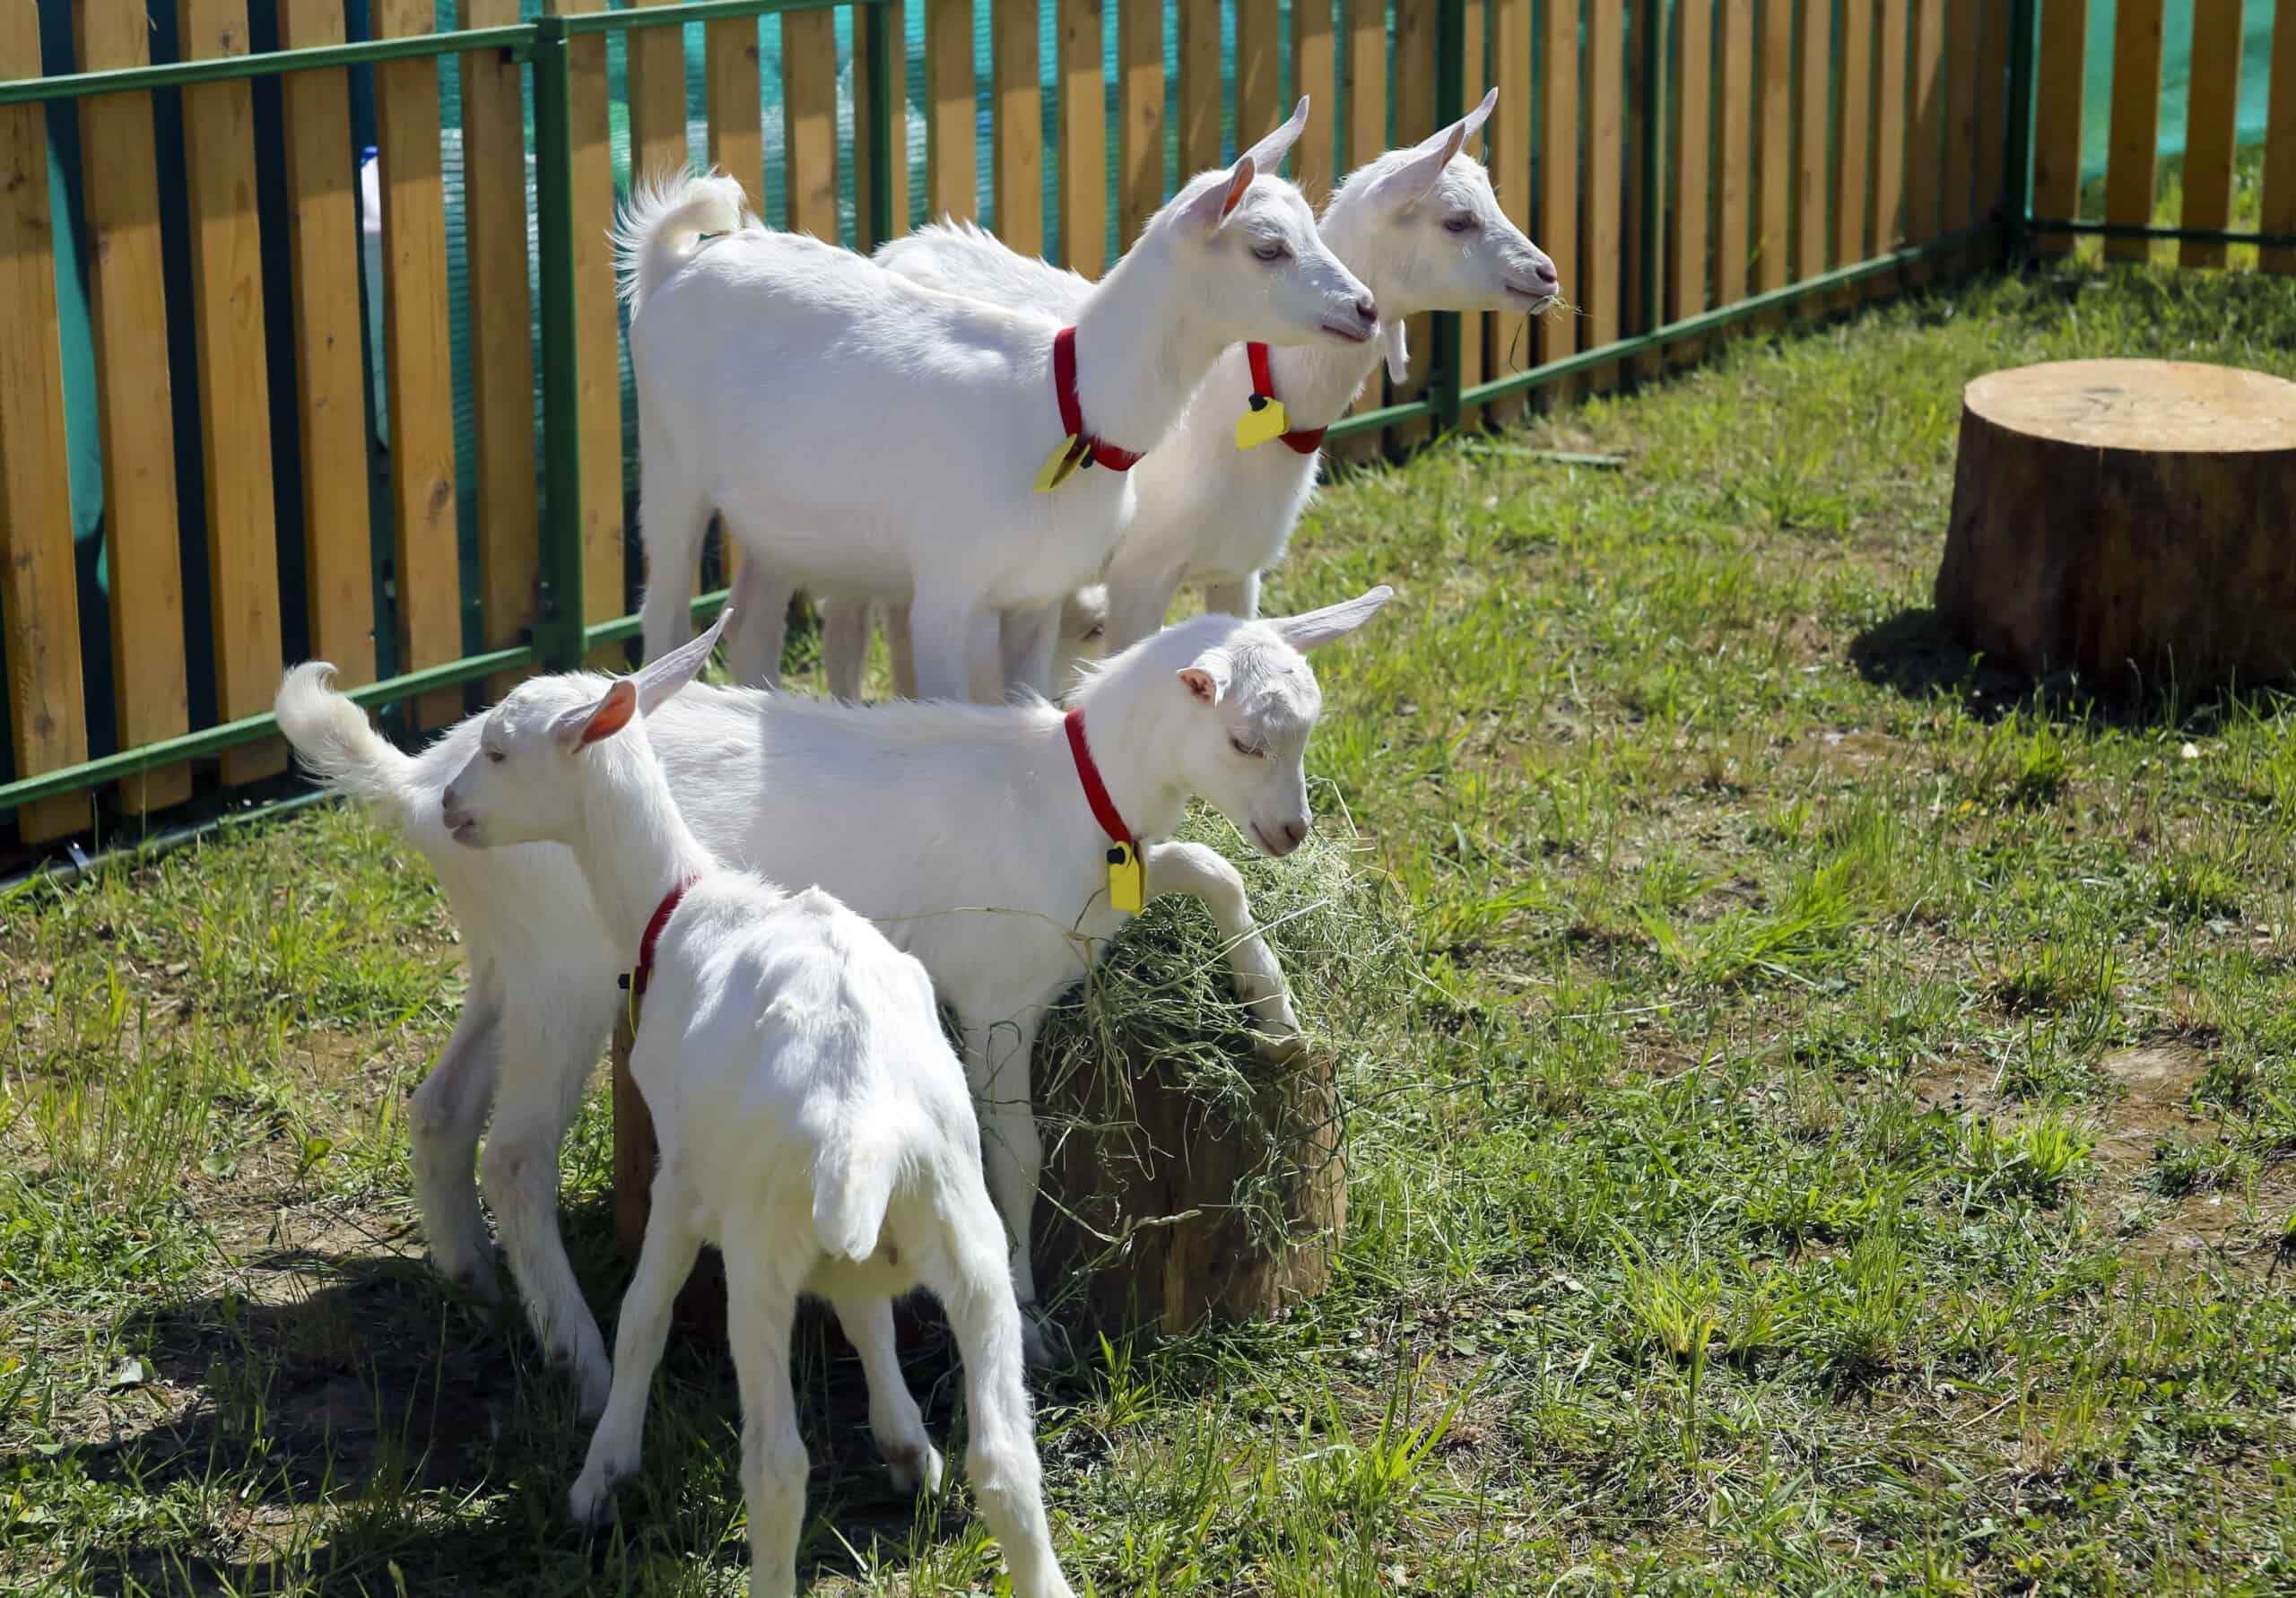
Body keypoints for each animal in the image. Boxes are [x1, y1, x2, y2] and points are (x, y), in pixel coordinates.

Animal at [275, 586, 1393, 1400]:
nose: (1293, 831)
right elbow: (1014, 1156)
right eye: (1247, 741)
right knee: (514, 1157)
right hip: (564, 970)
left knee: (440, 1106)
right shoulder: (995, 991)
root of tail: (426, 791)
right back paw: (582, 1359)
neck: (1069, 791)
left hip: (505, 953)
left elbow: (1209, 865)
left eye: (1304, 732)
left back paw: (476, 1283)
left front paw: (1276, 1014)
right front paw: (1030, 1323)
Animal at [620, 99, 1378, 704]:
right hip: (669, 466)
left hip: (775, 518)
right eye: (1268, 249)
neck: (1067, 404)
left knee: (753, 621)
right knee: (665, 616)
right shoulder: (945, 592)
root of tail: (674, 263)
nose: (1365, 308)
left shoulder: (1038, 595)